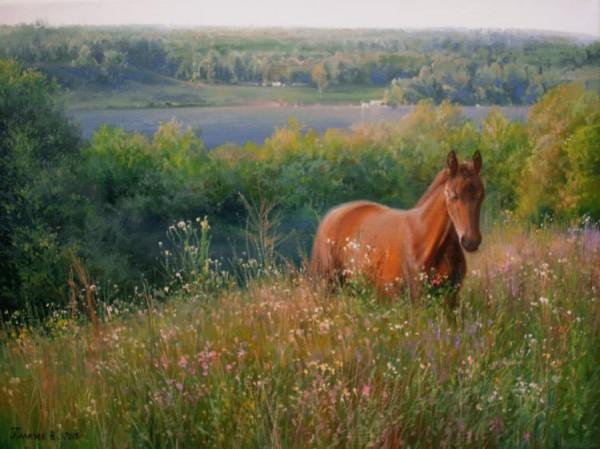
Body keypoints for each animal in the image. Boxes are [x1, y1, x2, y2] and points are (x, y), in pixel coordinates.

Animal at [312, 149, 486, 302]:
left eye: (481, 195)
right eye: (453, 195)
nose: (471, 241)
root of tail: (331, 216)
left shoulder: (451, 299)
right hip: (328, 287)